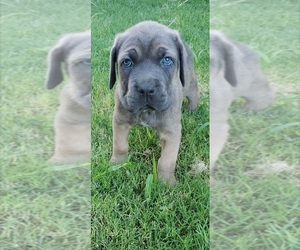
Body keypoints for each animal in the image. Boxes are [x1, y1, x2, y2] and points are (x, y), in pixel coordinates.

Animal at [109, 21, 200, 185]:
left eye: (167, 60)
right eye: (127, 62)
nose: (146, 88)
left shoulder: (172, 131)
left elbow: (167, 160)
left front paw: (166, 182)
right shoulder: (120, 121)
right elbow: (120, 145)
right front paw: (117, 164)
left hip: (189, 82)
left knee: (194, 92)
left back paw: (192, 109)